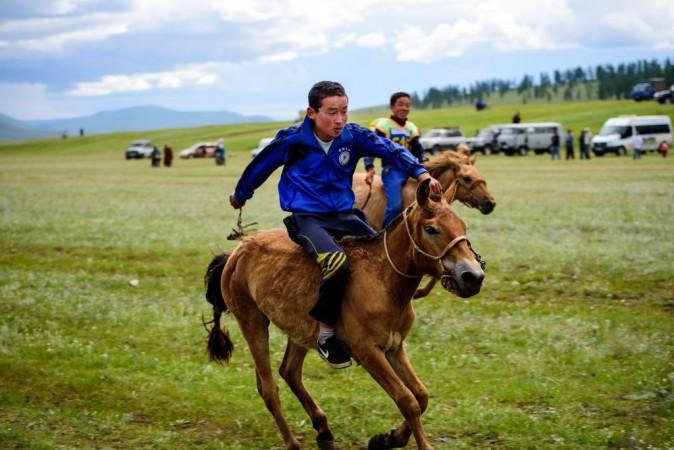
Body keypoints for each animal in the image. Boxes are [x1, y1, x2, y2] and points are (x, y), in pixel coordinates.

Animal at [205, 180, 485, 450]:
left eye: (462, 225)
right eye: (431, 229)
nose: (473, 276)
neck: (383, 280)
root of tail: (237, 252)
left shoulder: (394, 348)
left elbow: (422, 395)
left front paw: (388, 439)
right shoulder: (368, 352)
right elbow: (408, 400)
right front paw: (412, 442)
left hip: (299, 329)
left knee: (290, 372)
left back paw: (323, 429)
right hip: (253, 322)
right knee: (268, 388)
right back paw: (293, 442)